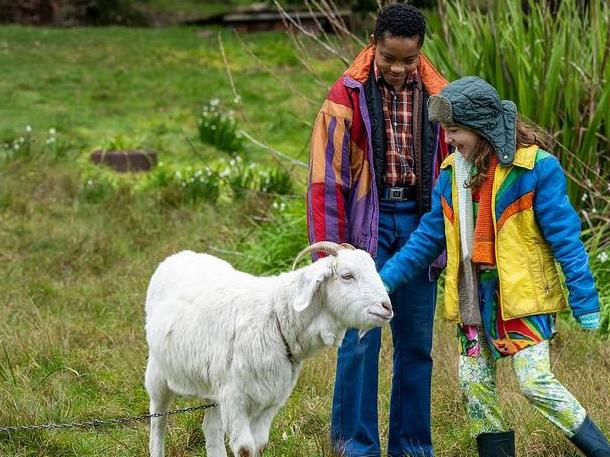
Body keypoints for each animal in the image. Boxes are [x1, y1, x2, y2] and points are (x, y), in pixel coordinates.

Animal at [144, 240, 390, 454]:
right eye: (347, 276)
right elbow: (245, 448)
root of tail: (179, 255)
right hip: (157, 374)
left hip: (212, 387)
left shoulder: (271, 400)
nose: (387, 307)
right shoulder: (235, 399)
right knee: (158, 422)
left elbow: (259, 445)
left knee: (211, 429)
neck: (276, 316)